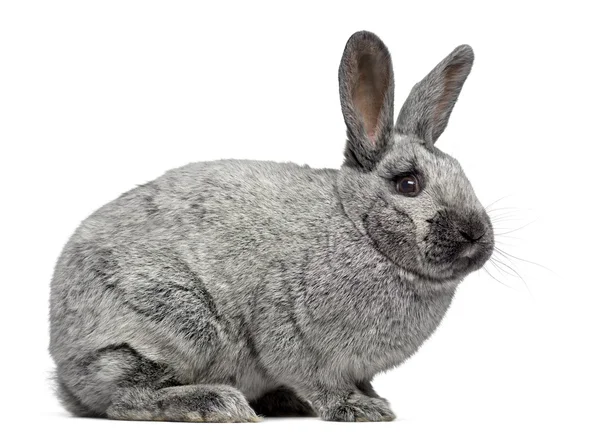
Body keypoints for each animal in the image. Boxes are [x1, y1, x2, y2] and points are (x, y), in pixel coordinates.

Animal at [50, 31, 492, 422]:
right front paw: (359, 409)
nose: (476, 234)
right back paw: (218, 404)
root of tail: (64, 367)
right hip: (177, 325)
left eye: (462, 174)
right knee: (126, 399)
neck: (358, 227)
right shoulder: (290, 329)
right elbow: (318, 381)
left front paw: (374, 399)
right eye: (408, 184)